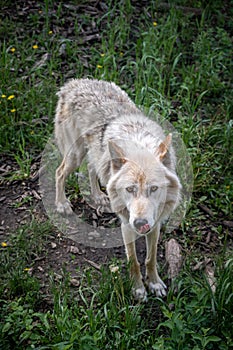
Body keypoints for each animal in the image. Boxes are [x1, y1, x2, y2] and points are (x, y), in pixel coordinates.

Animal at [55, 78, 182, 300]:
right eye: (129, 189)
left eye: (154, 188)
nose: (140, 223)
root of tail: (73, 83)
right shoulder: (126, 225)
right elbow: (134, 261)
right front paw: (138, 289)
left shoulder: (155, 224)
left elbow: (150, 258)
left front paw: (154, 283)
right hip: (74, 155)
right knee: (59, 172)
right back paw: (62, 204)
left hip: (95, 155)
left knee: (92, 168)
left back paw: (98, 197)